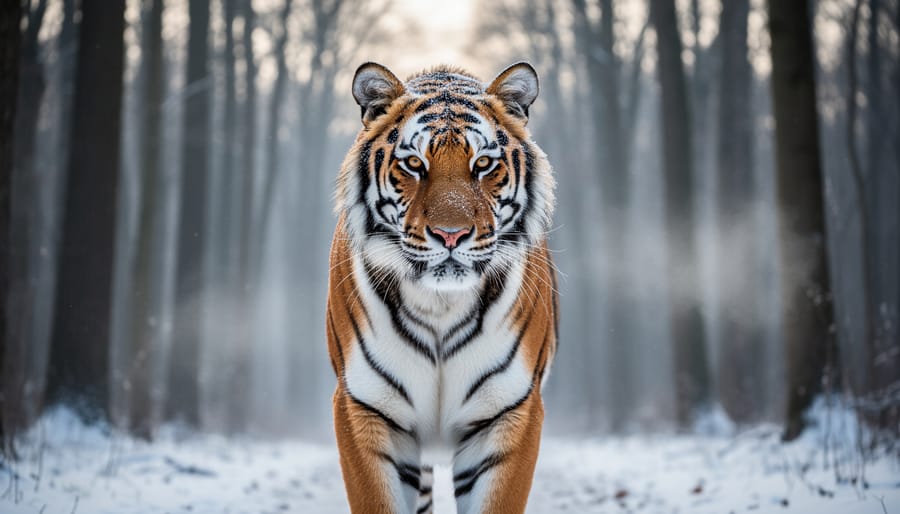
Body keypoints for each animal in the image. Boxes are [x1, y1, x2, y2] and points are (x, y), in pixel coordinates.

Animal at [326, 61, 558, 514]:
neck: (439, 304)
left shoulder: (509, 412)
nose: (451, 235)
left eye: (483, 163)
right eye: (414, 164)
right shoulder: (364, 407)